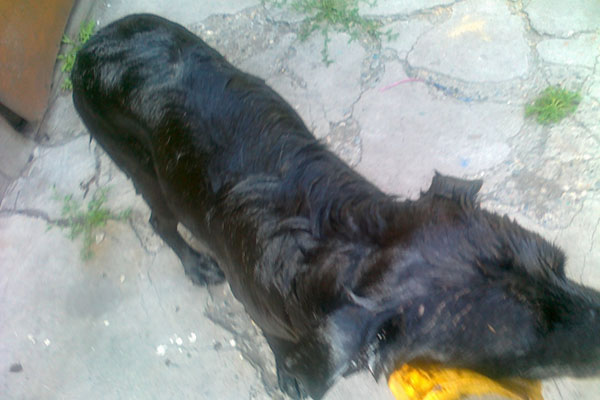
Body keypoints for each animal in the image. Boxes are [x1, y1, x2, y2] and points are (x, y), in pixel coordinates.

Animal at [72, 14, 600, 399]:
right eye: (527, 345)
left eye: (563, 266)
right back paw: (195, 264)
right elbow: (279, 347)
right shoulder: (262, 309)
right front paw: (289, 374)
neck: (343, 245)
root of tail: (90, 45)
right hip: (142, 170)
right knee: (160, 220)